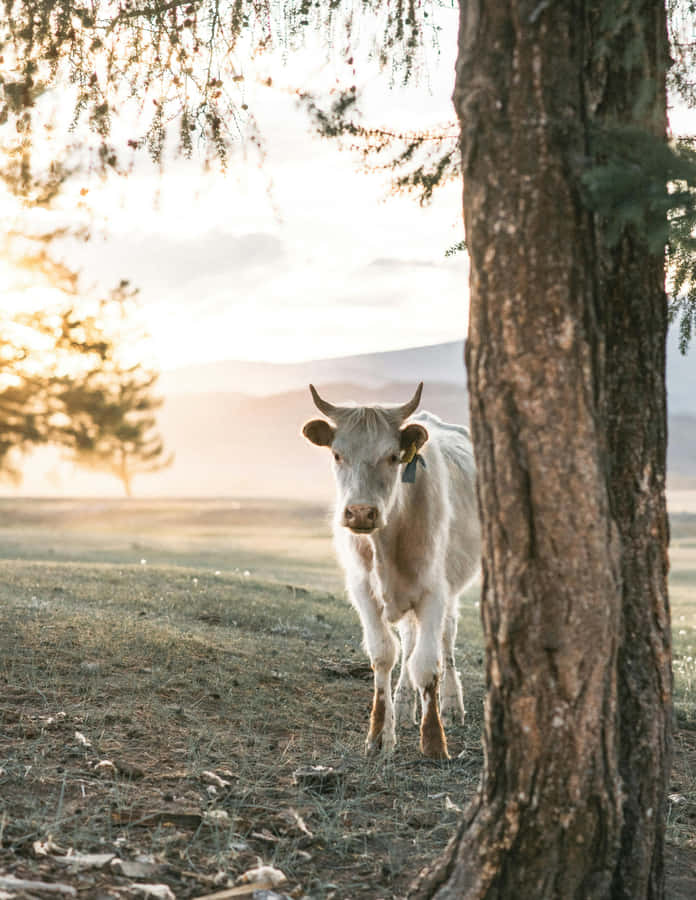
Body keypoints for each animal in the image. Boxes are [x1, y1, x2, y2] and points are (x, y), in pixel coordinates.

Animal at [302, 382, 480, 759]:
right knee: (408, 642)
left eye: (393, 456)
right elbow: (385, 654)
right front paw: (380, 735)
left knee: (446, 638)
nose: (360, 512)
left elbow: (427, 663)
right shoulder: (364, 592)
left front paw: (434, 741)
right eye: (337, 454)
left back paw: (452, 704)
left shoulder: (434, 592)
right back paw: (403, 703)